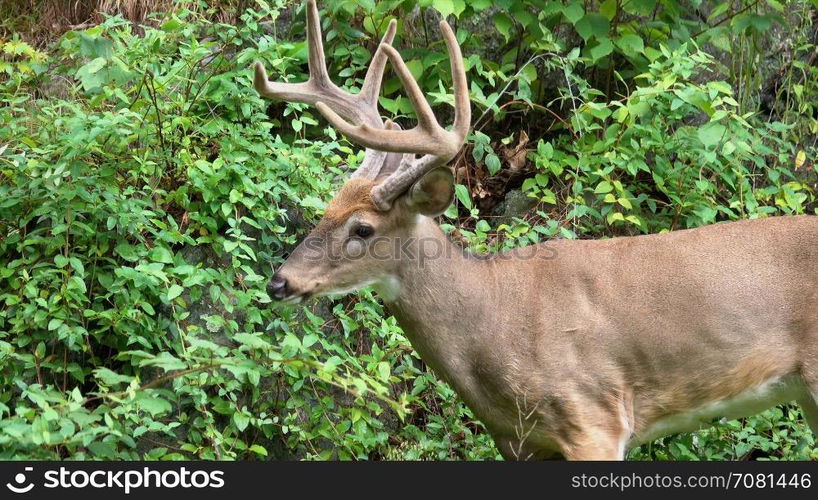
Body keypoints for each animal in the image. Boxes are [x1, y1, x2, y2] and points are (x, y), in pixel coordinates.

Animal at [255, 0, 816, 460]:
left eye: (364, 229)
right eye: (326, 208)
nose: (279, 283)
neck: (495, 323)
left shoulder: (594, 418)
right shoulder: (519, 442)